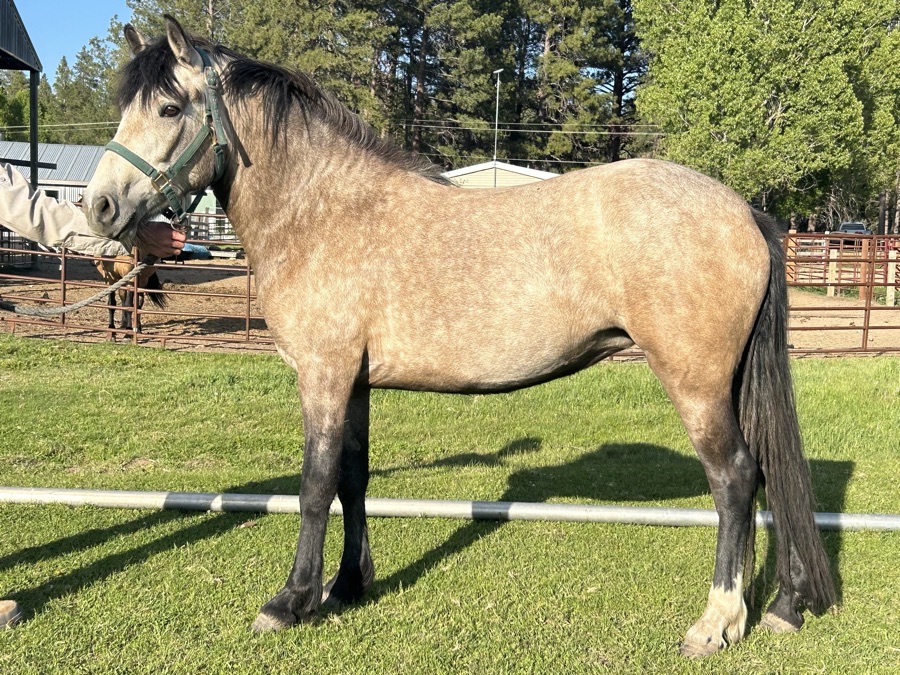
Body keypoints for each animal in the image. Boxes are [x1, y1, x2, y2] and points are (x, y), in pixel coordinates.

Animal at [82, 15, 835, 656]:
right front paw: (348, 586)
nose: (100, 207)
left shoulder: (323, 376)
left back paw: (717, 622)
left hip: (696, 383)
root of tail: (745, 211)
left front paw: (292, 601)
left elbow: (315, 485)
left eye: (169, 108)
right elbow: (353, 479)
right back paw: (786, 606)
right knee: (770, 472)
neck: (325, 212)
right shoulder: (354, 383)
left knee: (735, 479)